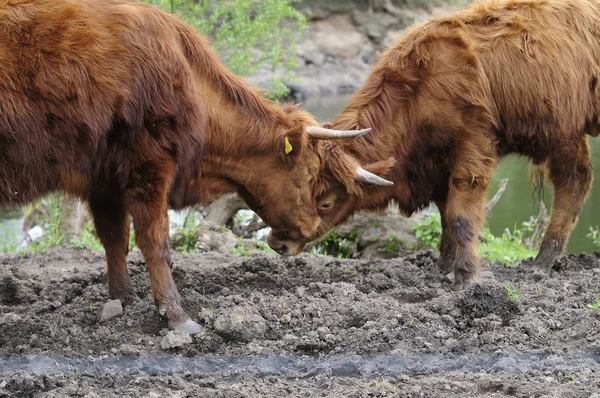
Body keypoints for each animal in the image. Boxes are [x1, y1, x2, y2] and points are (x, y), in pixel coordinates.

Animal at [0, 0, 386, 334]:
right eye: (309, 176)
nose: (308, 230)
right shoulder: (148, 167)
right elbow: (155, 240)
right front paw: (175, 315)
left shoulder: (104, 179)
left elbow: (114, 238)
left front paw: (122, 299)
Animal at [270, 0, 600, 284]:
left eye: (325, 203)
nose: (278, 243)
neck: (418, 90)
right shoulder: (436, 164)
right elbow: (445, 214)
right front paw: (444, 265)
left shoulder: (472, 146)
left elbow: (461, 215)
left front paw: (466, 275)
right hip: (567, 134)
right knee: (576, 179)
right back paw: (544, 260)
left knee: (572, 182)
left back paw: (542, 263)